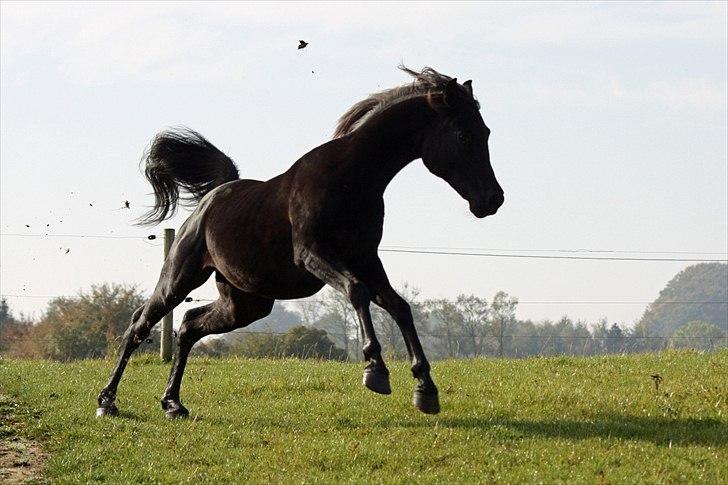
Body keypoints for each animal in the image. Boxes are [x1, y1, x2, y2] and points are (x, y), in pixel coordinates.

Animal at [96, 66, 504, 418]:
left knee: (188, 326)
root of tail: (213, 197)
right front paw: (375, 370)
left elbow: (399, 306)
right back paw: (107, 402)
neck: (350, 178)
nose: (493, 200)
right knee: (140, 324)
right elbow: (358, 293)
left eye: (486, 132)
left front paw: (425, 389)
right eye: (465, 136)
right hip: (180, 279)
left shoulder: (366, 259)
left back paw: (173, 404)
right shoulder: (315, 255)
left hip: (245, 304)